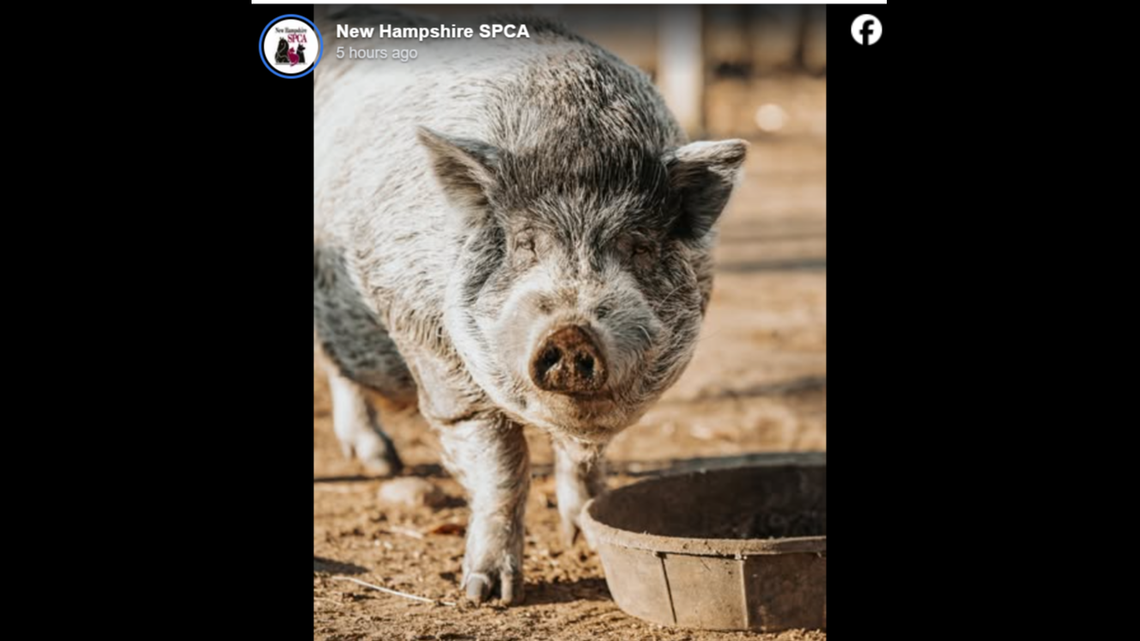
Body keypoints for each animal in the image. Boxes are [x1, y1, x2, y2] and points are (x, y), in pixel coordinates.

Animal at [313, 8, 746, 605]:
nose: (571, 331)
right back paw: (381, 462)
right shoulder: (428, 344)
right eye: (525, 243)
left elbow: (584, 459)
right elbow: (503, 461)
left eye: (637, 245)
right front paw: (487, 595)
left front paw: (584, 535)